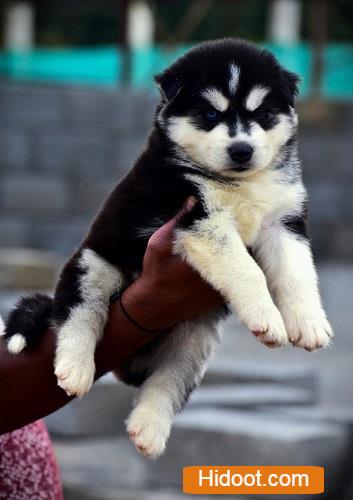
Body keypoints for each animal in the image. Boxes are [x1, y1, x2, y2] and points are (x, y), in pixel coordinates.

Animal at [4, 40, 332, 458]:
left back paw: (149, 428)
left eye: (262, 113)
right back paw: (75, 368)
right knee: (79, 314)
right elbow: (246, 269)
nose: (242, 150)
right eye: (210, 113)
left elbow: (297, 273)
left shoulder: (284, 222)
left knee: (170, 381)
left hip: (196, 339)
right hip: (94, 263)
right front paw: (267, 317)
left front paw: (309, 323)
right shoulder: (199, 217)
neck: (238, 184)